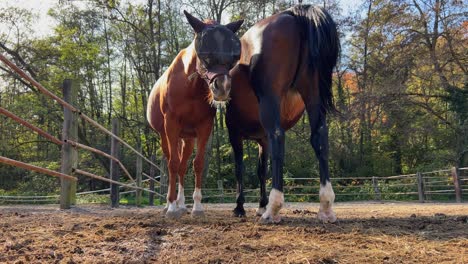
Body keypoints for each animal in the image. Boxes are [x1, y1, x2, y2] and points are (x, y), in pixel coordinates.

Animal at [147, 11, 243, 219]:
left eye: (234, 55)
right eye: (205, 54)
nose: (222, 88)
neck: (189, 87)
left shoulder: (204, 127)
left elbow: (197, 164)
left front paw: (197, 207)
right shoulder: (171, 125)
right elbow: (173, 164)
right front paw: (171, 208)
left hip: (188, 138)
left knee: (183, 167)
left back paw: (182, 204)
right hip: (165, 136)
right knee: (172, 162)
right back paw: (170, 204)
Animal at [227, 4, 340, 223]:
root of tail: (294, 14)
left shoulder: (235, 135)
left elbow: (240, 169)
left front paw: (240, 207)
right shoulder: (262, 140)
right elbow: (261, 171)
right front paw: (260, 205)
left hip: (271, 102)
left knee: (278, 136)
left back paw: (273, 208)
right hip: (312, 95)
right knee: (320, 138)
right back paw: (325, 206)